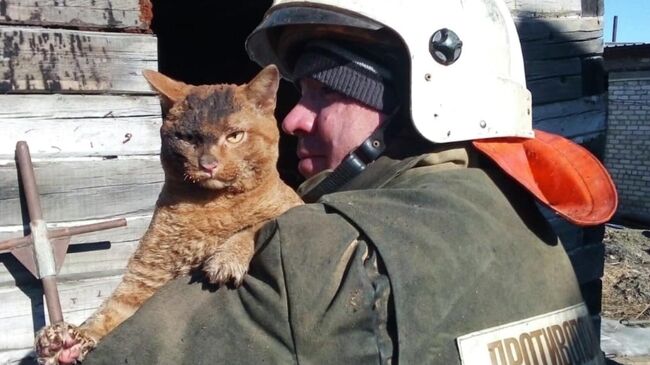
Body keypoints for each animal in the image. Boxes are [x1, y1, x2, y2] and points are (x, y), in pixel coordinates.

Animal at [33, 66, 302, 364]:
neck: (209, 206)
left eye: (235, 136)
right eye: (189, 138)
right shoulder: (145, 278)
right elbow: (109, 314)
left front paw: (227, 257)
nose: (208, 164)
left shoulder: (294, 205)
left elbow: (256, 224)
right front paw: (67, 341)